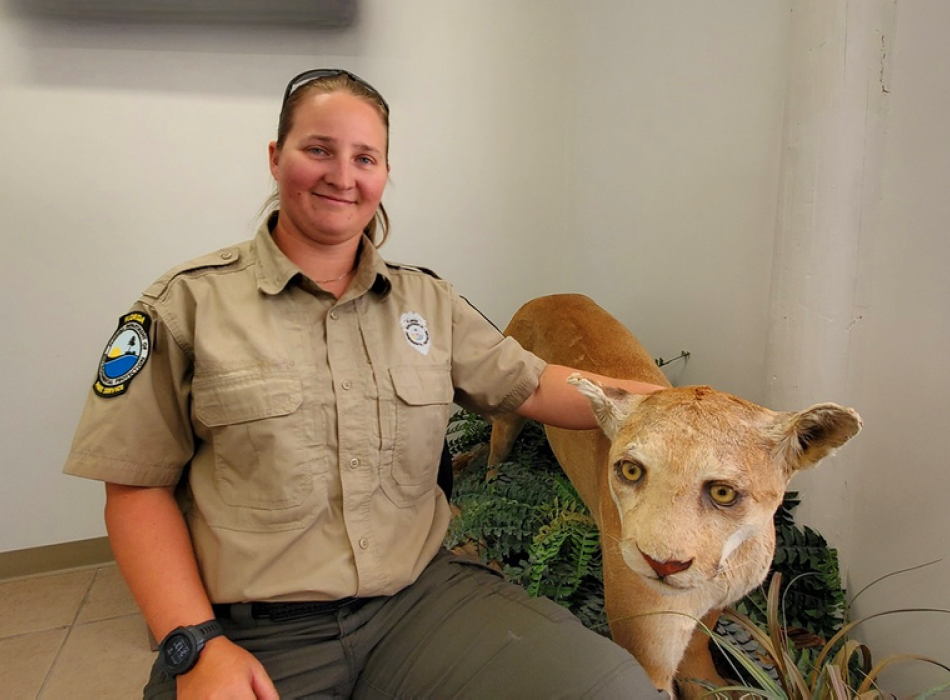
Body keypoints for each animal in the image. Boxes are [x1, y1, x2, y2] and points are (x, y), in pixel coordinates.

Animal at [488, 294, 868, 696]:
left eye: (722, 492)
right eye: (631, 470)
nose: (662, 565)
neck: (723, 566)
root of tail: (551, 295)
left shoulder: (716, 604)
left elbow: (699, 643)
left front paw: (710, 683)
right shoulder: (647, 645)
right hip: (507, 419)